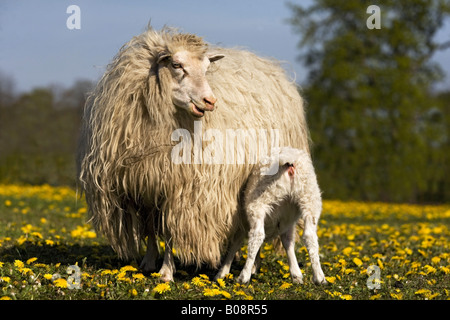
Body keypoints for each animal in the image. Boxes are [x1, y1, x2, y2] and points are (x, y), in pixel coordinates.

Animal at [76, 26, 312, 282]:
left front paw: (166, 272)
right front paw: (149, 261)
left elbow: (169, 230)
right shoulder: (142, 186)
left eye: (207, 68)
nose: (210, 101)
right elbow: (151, 228)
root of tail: (273, 67)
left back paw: (253, 266)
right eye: (176, 65)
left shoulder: (179, 188)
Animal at [215, 146, 326, 284]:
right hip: (309, 197)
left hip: (261, 199)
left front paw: (222, 273)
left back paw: (243, 277)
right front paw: (296, 274)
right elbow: (288, 242)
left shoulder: (242, 224)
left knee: (257, 235)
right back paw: (319, 277)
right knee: (310, 236)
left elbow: (235, 244)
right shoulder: (287, 221)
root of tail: (290, 161)